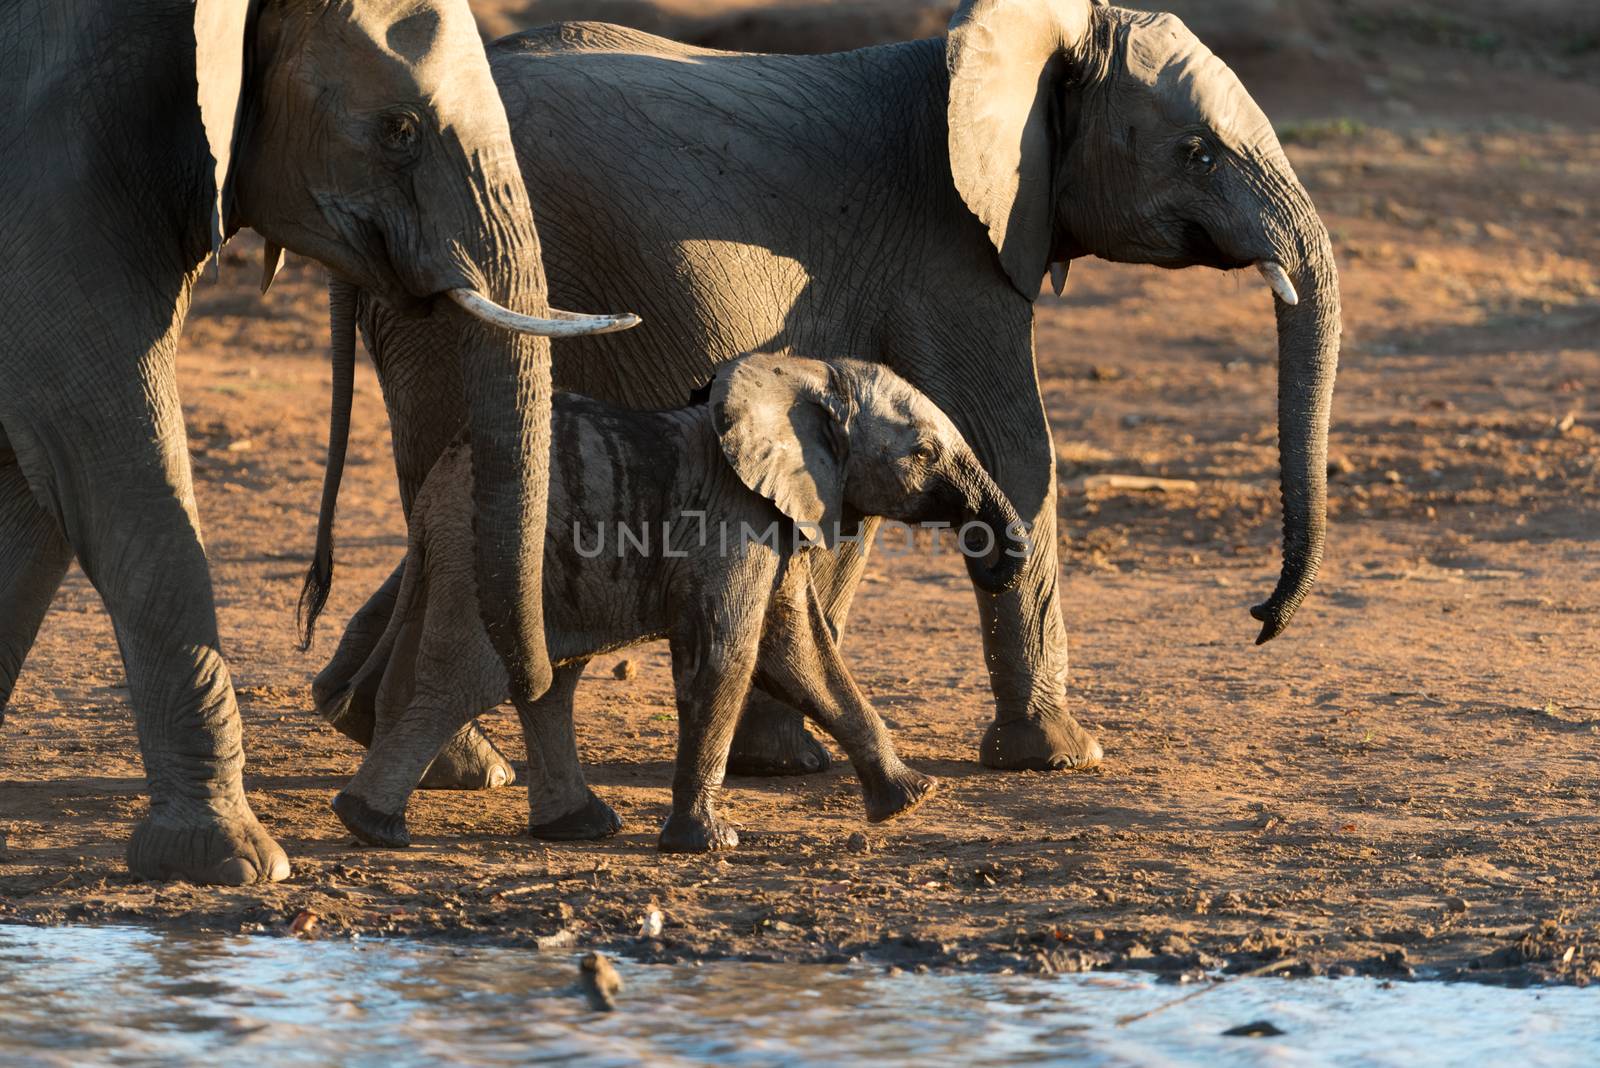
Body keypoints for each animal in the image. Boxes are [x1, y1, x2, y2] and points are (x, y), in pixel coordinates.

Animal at [0, 0, 636, 882]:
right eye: (399, 131)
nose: (549, 670)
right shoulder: (58, 169)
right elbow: (96, 444)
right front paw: (229, 861)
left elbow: (32, 487)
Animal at [308, 0, 1337, 799]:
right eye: (1197, 153)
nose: (1260, 618)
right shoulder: (950, 248)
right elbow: (1012, 449)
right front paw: (1060, 758)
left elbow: (859, 488)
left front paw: (783, 760)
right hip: (471, 284)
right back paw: (458, 761)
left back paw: (371, 723)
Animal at [332, 354, 1030, 856]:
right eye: (923, 453)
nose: (999, 557)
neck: (801, 375)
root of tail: (432, 496)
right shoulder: (732, 518)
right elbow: (729, 652)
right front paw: (711, 844)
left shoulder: (773, 517)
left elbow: (796, 650)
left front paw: (913, 798)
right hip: (482, 560)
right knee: (468, 682)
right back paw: (371, 827)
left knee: (549, 683)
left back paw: (580, 828)